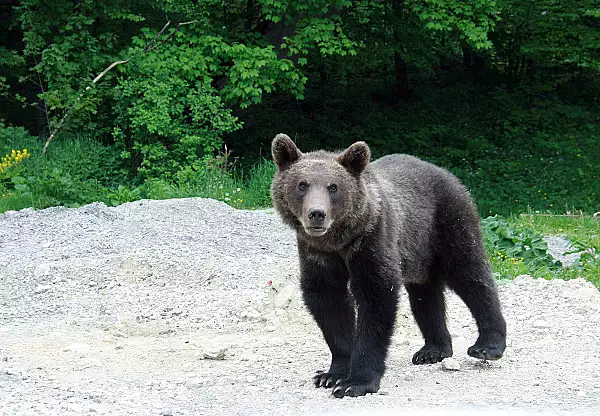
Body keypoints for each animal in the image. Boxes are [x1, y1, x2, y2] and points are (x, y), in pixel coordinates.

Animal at [270, 134, 506, 400]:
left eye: (333, 186)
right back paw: (433, 349)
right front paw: (331, 374)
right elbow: (328, 301)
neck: (339, 241)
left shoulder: (372, 240)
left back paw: (487, 346)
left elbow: (376, 298)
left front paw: (356, 382)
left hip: (449, 221)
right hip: (418, 251)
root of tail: (446, 173)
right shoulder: (317, 254)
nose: (317, 214)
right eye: (302, 184)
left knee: (470, 275)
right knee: (425, 296)